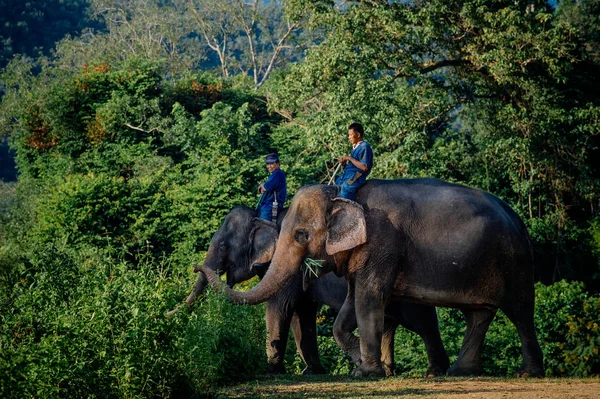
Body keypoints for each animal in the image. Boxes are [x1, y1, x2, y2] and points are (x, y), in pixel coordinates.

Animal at [171, 208, 448, 376]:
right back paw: (388, 370)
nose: (195, 266)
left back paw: (434, 371)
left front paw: (270, 370)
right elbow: (300, 315)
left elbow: (279, 307)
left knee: (422, 323)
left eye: (224, 246)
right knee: (390, 324)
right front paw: (313, 371)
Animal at [200, 180, 544, 380]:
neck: (341, 197)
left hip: (515, 262)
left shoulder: (382, 244)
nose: (196, 268)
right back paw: (458, 372)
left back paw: (523, 373)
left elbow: (362, 299)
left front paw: (363, 370)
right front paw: (347, 366)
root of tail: (516, 217)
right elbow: (341, 306)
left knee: (519, 311)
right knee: (478, 314)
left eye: (301, 235)